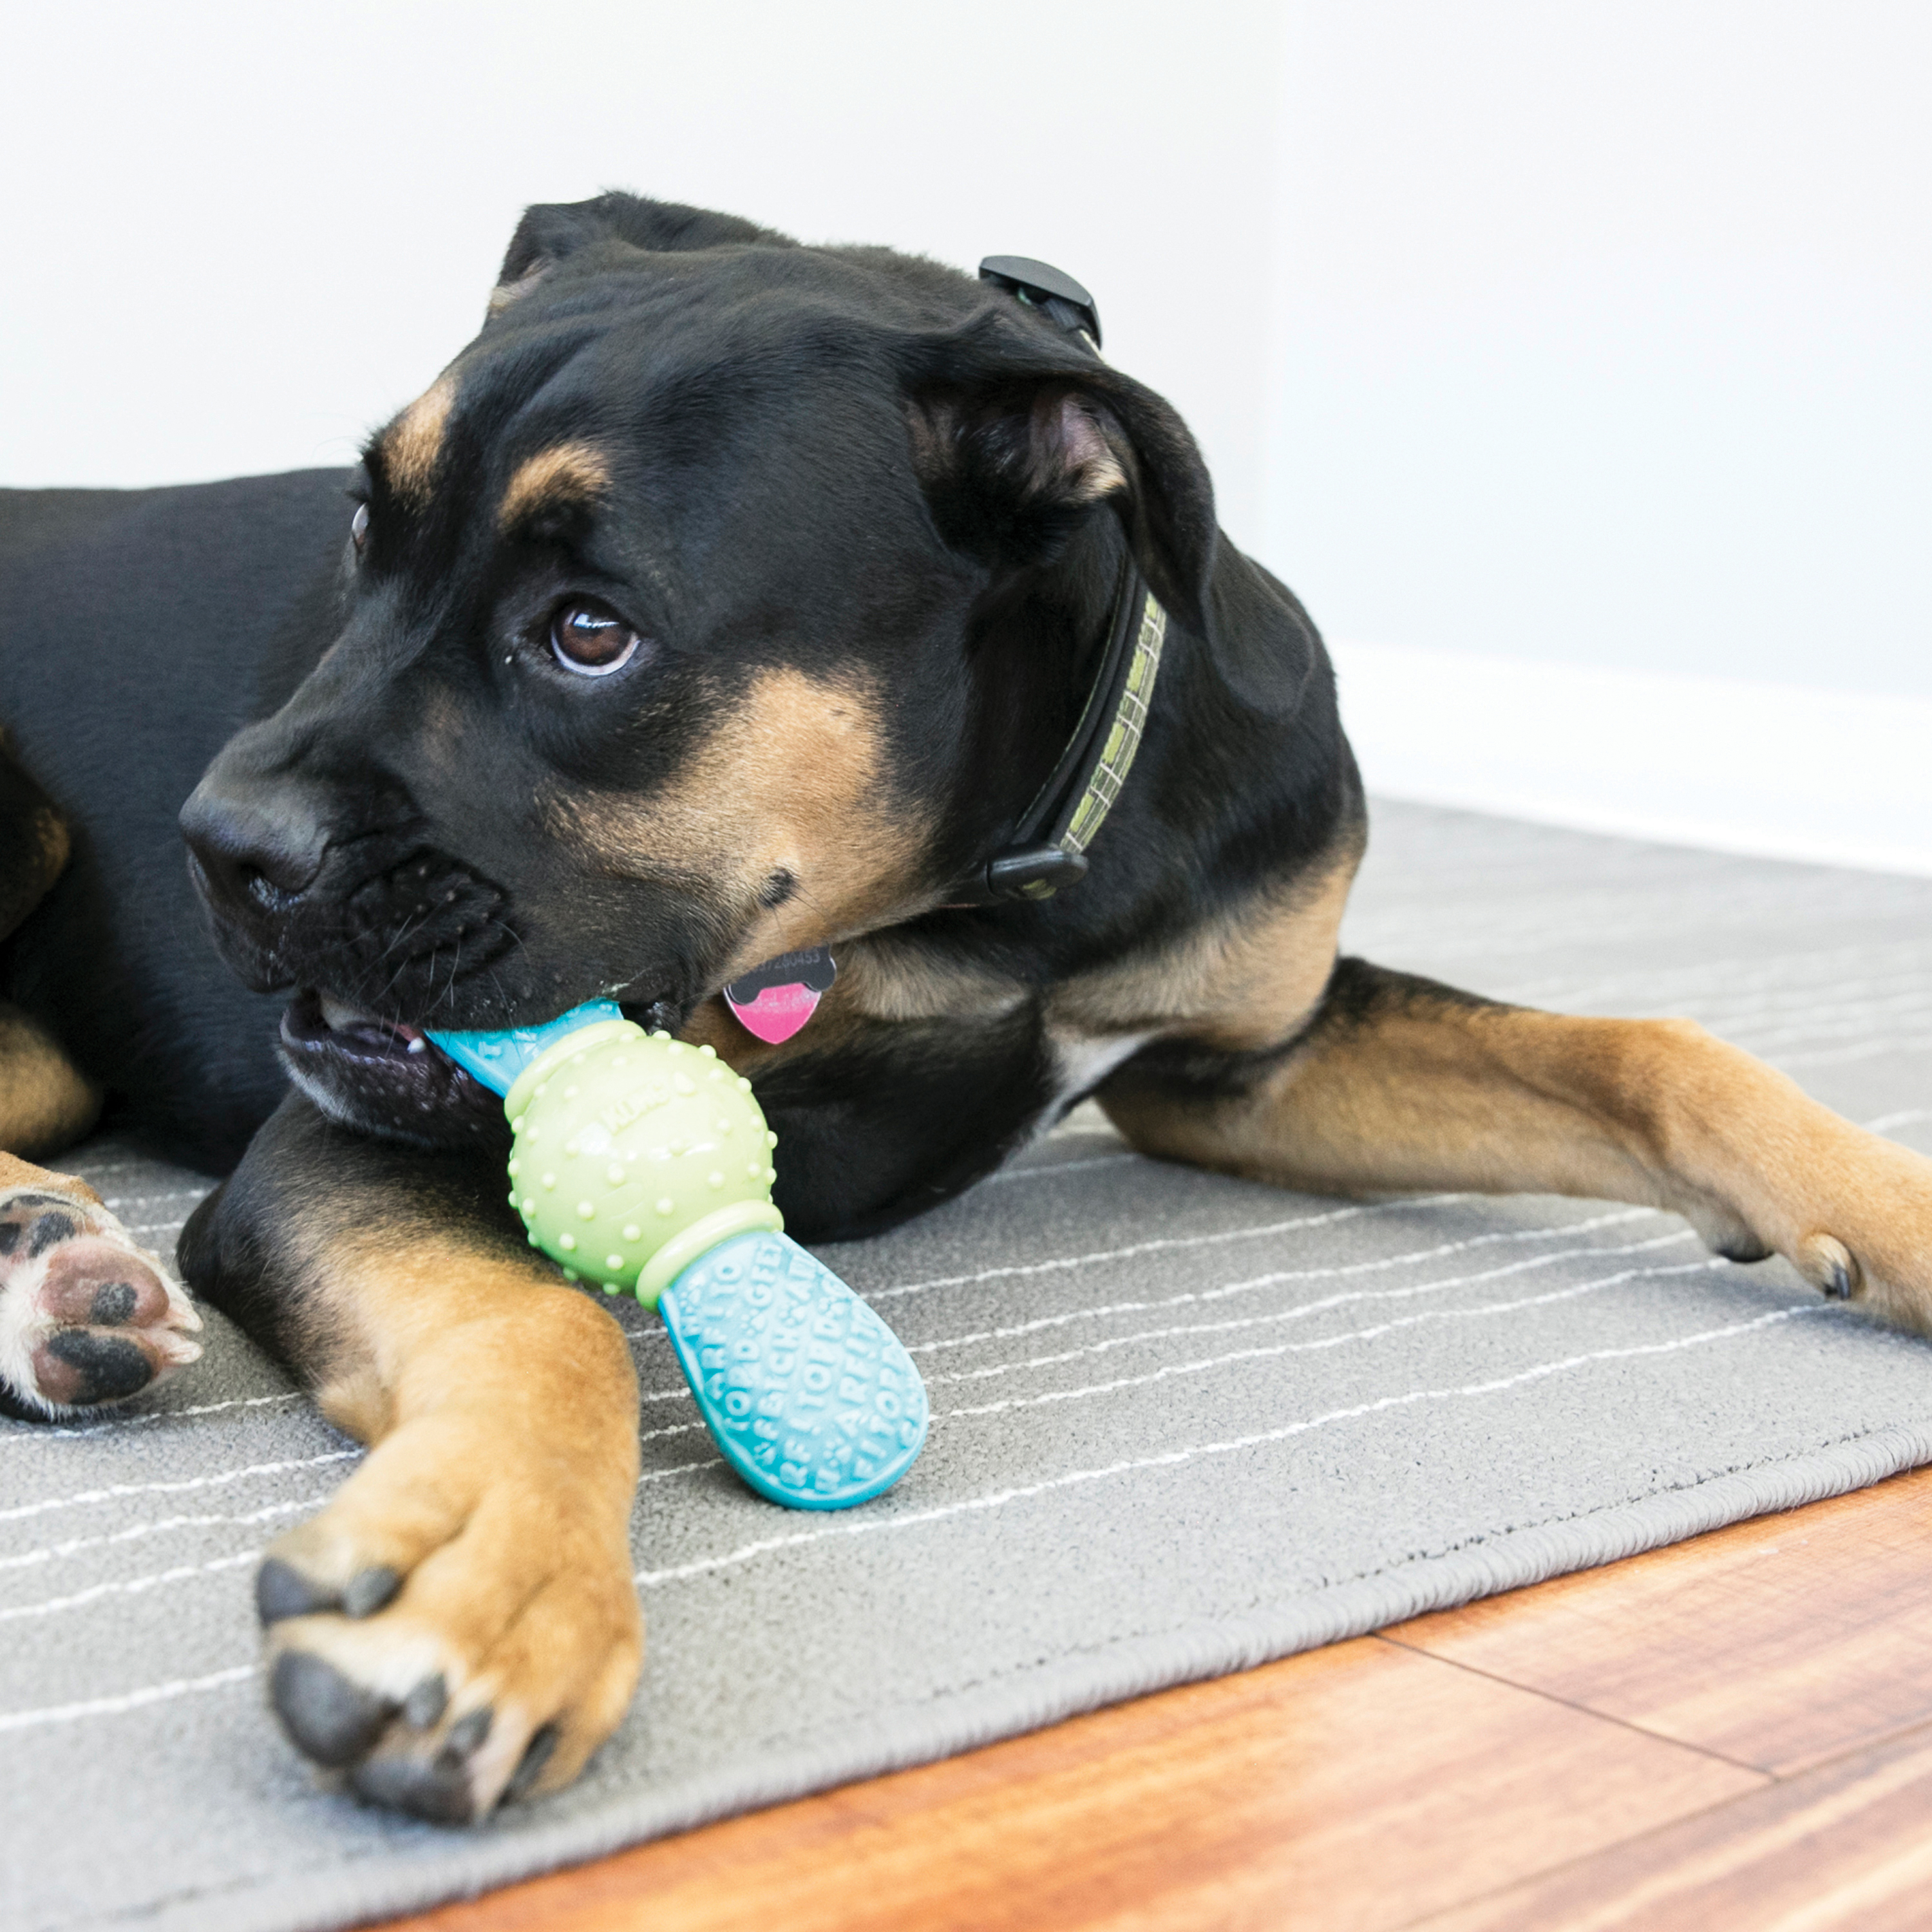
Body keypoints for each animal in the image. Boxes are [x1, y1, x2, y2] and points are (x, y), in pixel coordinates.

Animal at [3, 196, 1932, 1824]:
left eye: (592, 634)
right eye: (363, 536)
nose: (219, 843)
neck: (982, 898)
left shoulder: (1244, 1064)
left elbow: (1638, 1049)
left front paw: (1892, 1213)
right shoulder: (350, 1139)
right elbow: (541, 1321)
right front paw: (494, 1583)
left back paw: (55, 1272)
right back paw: (59, 1275)